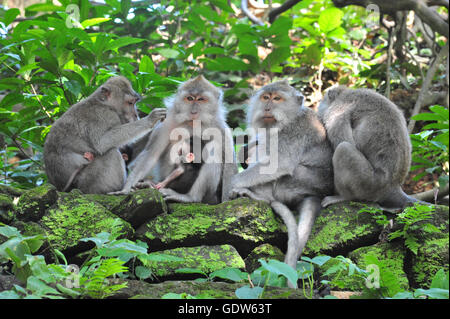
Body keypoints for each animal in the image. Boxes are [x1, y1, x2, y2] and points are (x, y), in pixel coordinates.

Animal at [112, 75, 237, 205]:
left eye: (201, 99)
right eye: (190, 98)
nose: (193, 111)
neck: (193, 123)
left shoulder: (221, 128)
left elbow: (229, 165)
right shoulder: (166, 123)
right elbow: (151, 154)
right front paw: (126, 188)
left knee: (214, 148)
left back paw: (191, 197)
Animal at [229, 81, 334, 282]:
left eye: (277, 98)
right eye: (265, 97)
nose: (267, 108)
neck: (288, 119)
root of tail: (316, 194)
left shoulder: (296, 130)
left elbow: (280, 163)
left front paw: (232, 182)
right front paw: (243, 151)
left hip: (294, 183)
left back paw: (260, 197)